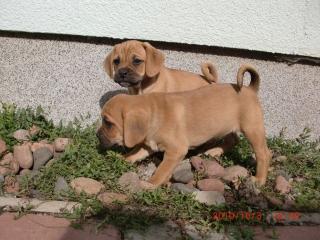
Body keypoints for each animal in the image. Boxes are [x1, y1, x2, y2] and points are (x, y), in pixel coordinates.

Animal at [97, 64, 270, 187]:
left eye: (108, 123)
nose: (97, 135)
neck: (155, 113)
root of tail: (249, 89)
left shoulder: (175, 151)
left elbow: (162, 169)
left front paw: (151, 183)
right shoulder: (149, 144)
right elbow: (135, 153)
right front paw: (121, 158)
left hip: (252, 129)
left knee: (264, 154)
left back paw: (260, 179)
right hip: (227, 126)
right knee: (233, 139)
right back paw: (214, 151)